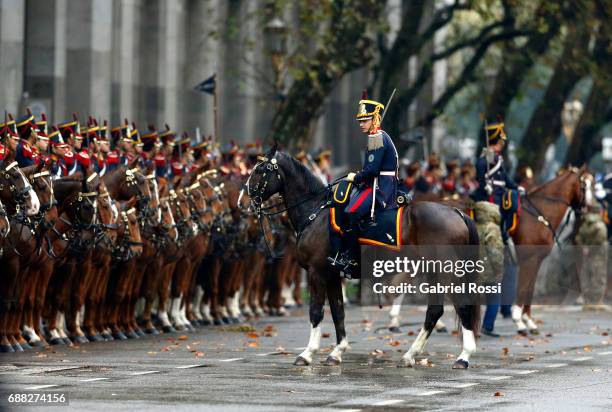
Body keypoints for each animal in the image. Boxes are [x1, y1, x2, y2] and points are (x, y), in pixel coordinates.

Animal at [246, 150, 480, 368]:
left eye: (259, 170)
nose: (244, 199)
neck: (315, 212)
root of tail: (457, 212)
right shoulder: (332, 274)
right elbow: (338, 312)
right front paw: (336, 352)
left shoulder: (317, 272)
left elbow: (316, 312)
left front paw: (307, 353)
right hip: (433, 273)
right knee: (435, 311)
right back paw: (411, 355)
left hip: (444, 273)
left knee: (459, 307)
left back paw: (463, 357)